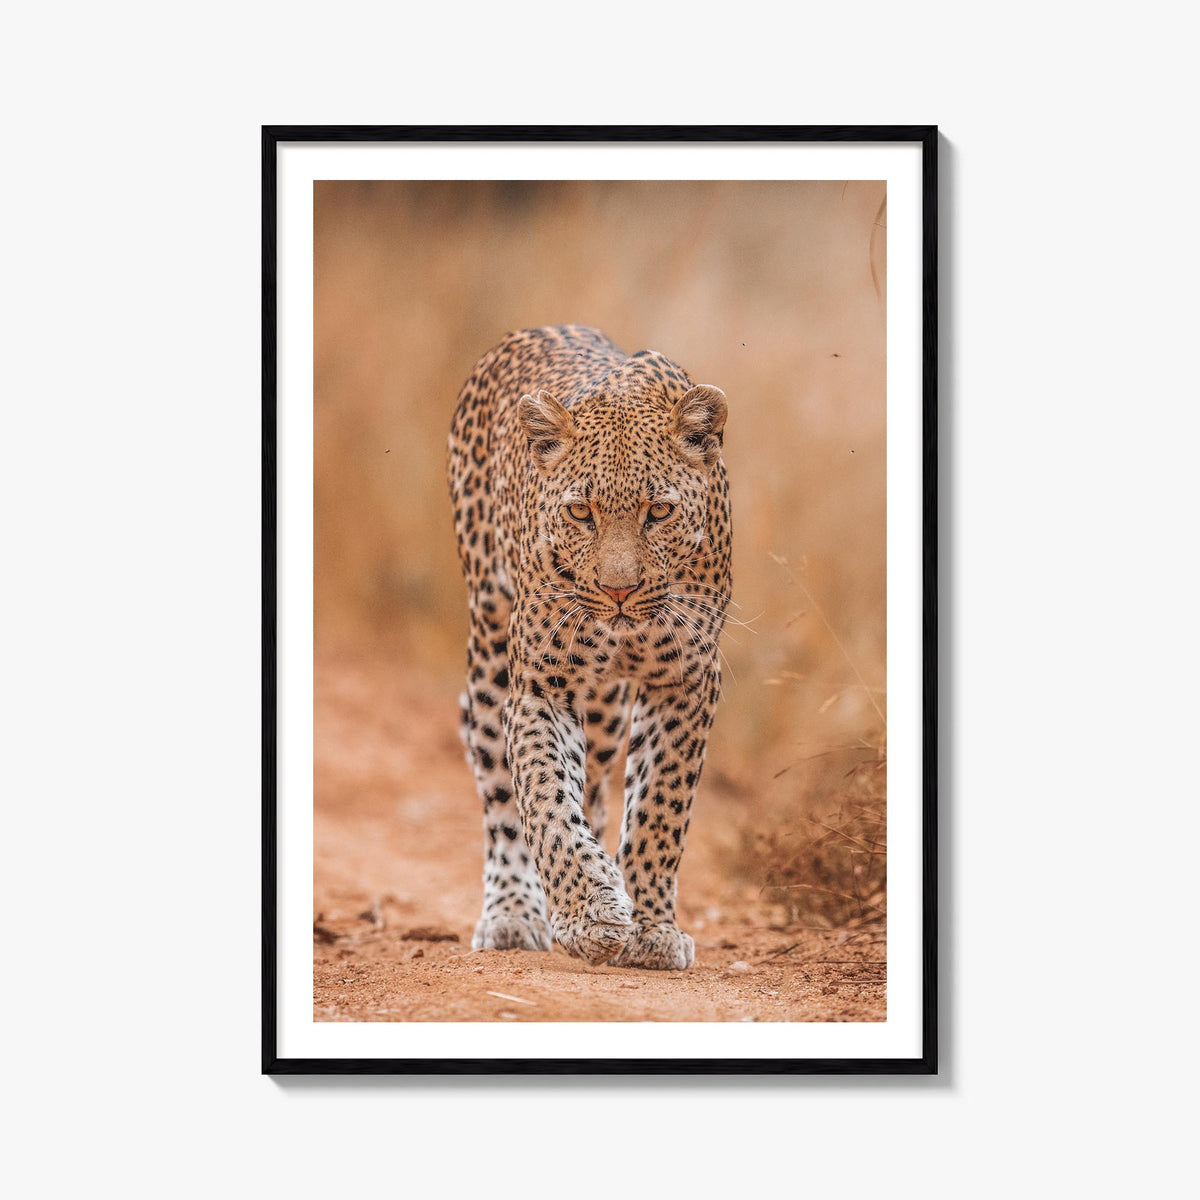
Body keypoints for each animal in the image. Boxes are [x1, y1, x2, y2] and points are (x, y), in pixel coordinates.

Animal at [446, 325, 731, 971]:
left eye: (659, 511)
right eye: (580, 511)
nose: (618, 590)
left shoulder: (686, 679)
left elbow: (659, 807)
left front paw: (650, 928)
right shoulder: (541, 685)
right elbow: (546, 800)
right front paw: (588, 913)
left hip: (605, 710)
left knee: (599, 785)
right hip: (490, 652)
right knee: (500, 791)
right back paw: (513, 913)